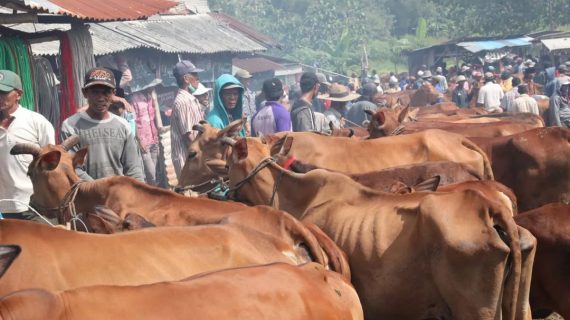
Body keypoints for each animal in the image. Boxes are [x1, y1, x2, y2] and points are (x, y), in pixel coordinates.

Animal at [224, 138, 536, 320]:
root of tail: (491, 209)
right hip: (520, 304)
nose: (224, 191)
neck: (295, 192)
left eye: (227, 165)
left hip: (474, 311)